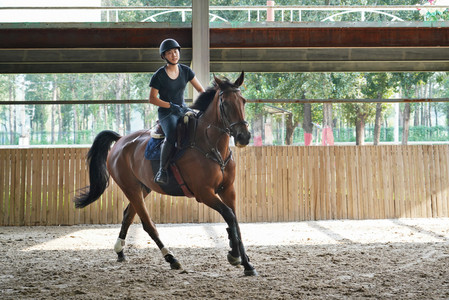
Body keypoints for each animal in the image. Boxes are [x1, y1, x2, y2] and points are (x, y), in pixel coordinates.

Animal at [72, 72, 256, 276]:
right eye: (224, 104)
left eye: (243, 101)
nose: (243, 137)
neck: (211, 145)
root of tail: (120, 140)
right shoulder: (204, 193)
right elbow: (230, 216)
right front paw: (236, 256)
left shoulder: (228, 190)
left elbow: (235, 221)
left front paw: (244, 261)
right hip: (131, 188)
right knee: (147, 224)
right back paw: (171, 258)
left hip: (143, 188)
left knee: (128, 215)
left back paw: (120, 251)